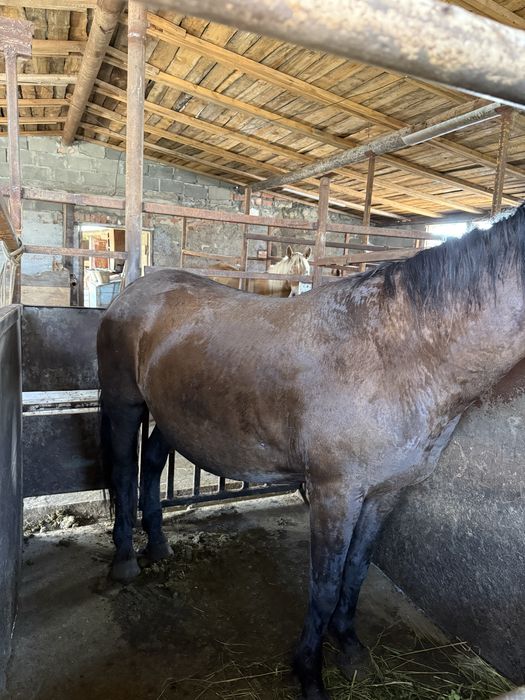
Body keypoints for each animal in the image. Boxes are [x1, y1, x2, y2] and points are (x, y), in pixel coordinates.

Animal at [97, 205, 525, 700]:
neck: (397, 354)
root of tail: (132, 293)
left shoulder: (385, 493)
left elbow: (356, 570)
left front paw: (351, 648)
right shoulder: (333, 494)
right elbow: (324, 584)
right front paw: (310, 673)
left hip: (174, 416)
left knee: (150, 465)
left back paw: (159, 544)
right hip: (125, 405)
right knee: (124, 472)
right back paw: (126, 560)